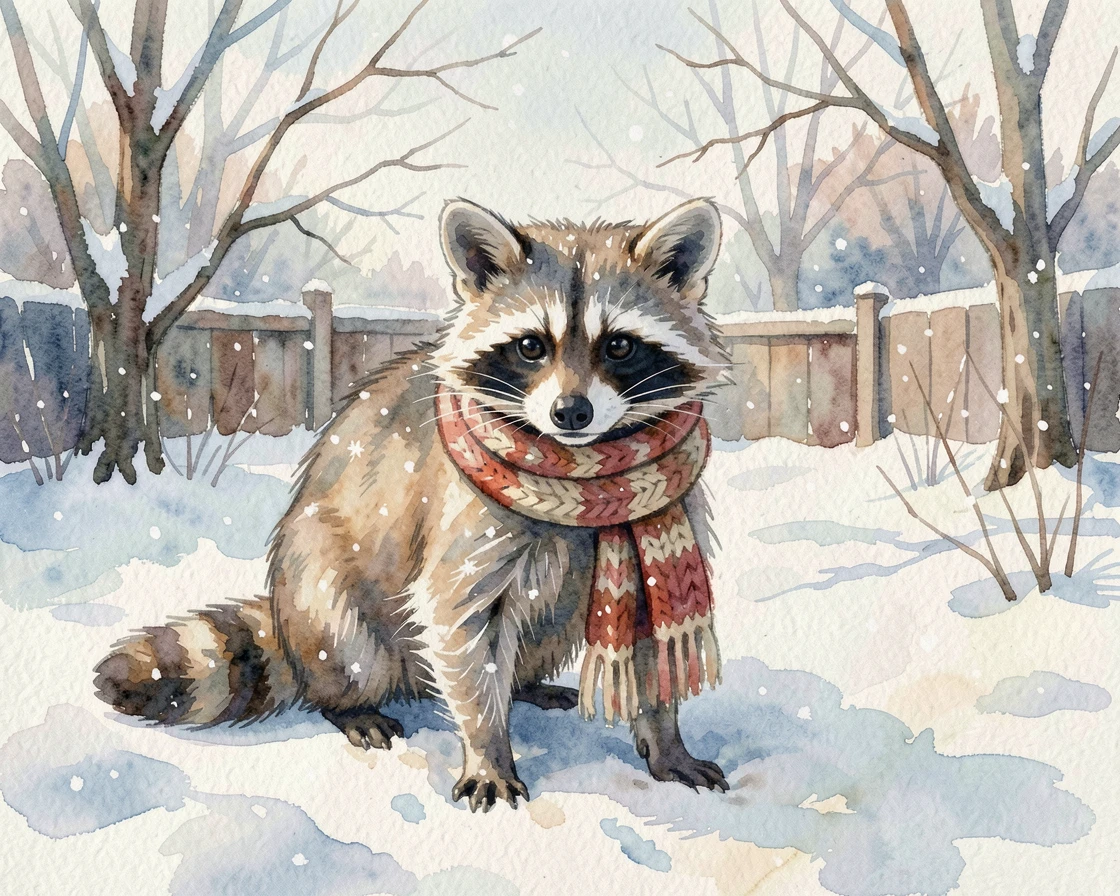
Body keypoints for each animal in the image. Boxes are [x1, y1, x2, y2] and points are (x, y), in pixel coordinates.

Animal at [94, 198, 729, 811]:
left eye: (619, 345)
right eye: (531, 346)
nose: (571, 412)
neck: (581, 472)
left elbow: (654, 643)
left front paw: (666, 740)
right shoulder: (464, 526)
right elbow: (462, 625)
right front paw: (487, 750)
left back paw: (525, 684)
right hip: (318, 585)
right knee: (345, 636)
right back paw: (350, 703)